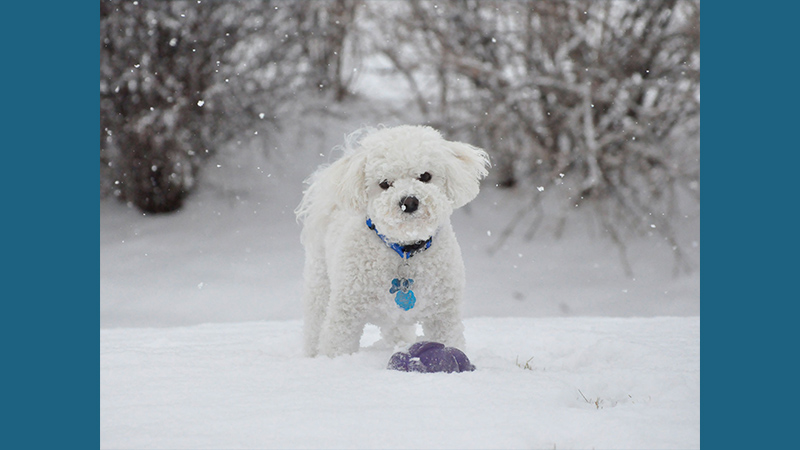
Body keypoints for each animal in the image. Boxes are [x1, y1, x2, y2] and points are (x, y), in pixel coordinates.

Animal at [296, 125, 490, 356]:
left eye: (425, 176)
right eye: (384, 184)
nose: (409, 202)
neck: (404, 250)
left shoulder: (443, 314)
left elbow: (449, 340)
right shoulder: (346, 313)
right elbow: (337, 345)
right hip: (320, 283)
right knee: (315, 322)